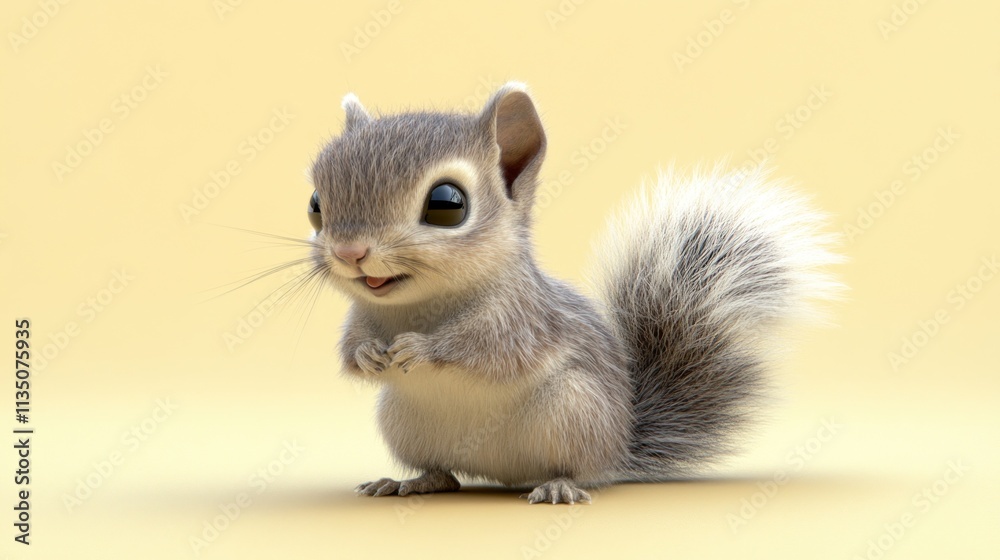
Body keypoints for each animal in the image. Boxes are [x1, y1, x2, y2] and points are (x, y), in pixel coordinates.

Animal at [305, 82, 842, 504]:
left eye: (447, 204)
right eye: (315, 205)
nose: (351, 252)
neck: (418, 306)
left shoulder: (522, 319)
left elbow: (489, 351)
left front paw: (421, 349)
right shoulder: (360, 315)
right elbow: (350, 348)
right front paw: (370, 355)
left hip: (573, 411)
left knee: (578, 470)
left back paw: (559, 485)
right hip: (403, 422)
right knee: (445, 474)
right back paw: (411, 481)